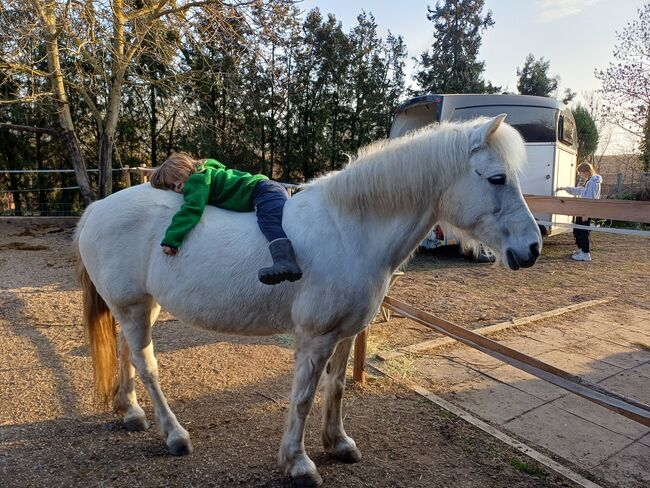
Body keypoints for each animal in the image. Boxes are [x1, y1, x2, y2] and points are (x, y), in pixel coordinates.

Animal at [74, 115, 541, 487]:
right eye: (497, 178)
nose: (532, 248)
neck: (350, 229)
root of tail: (96, 209)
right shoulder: (316, 338)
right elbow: (302, 396)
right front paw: (298, 464)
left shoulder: (345, 333)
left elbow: (336, 387)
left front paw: (338, 443)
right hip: (134, 307)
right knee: (147, 365)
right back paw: (174, 435)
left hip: (140, 306)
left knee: (125, 352)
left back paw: (130, 413)